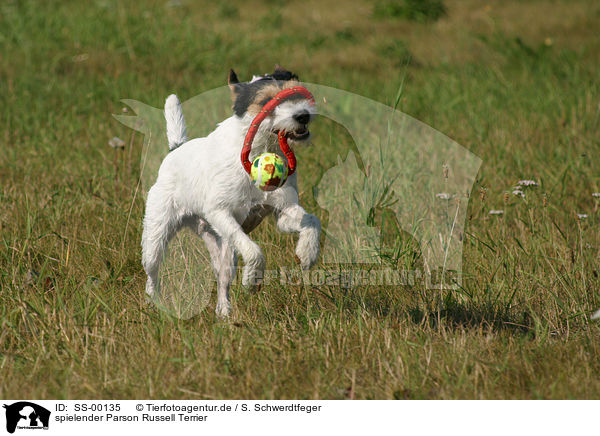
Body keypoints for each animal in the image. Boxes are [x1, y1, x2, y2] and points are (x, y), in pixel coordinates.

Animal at [141, 65, 322, 316]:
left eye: (296, 94)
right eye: (265, 101)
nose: (303, 115)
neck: (260, 149)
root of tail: (176, 149)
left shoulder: (282, 212)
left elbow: (312, 221)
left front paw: (307, 252)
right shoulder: (220, 213)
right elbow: (254, 250)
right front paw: (252, 279)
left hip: (218, 242)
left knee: (222, 276)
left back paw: (223, 310)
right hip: (157, 234)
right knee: (152, 271)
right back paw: (152, 303)